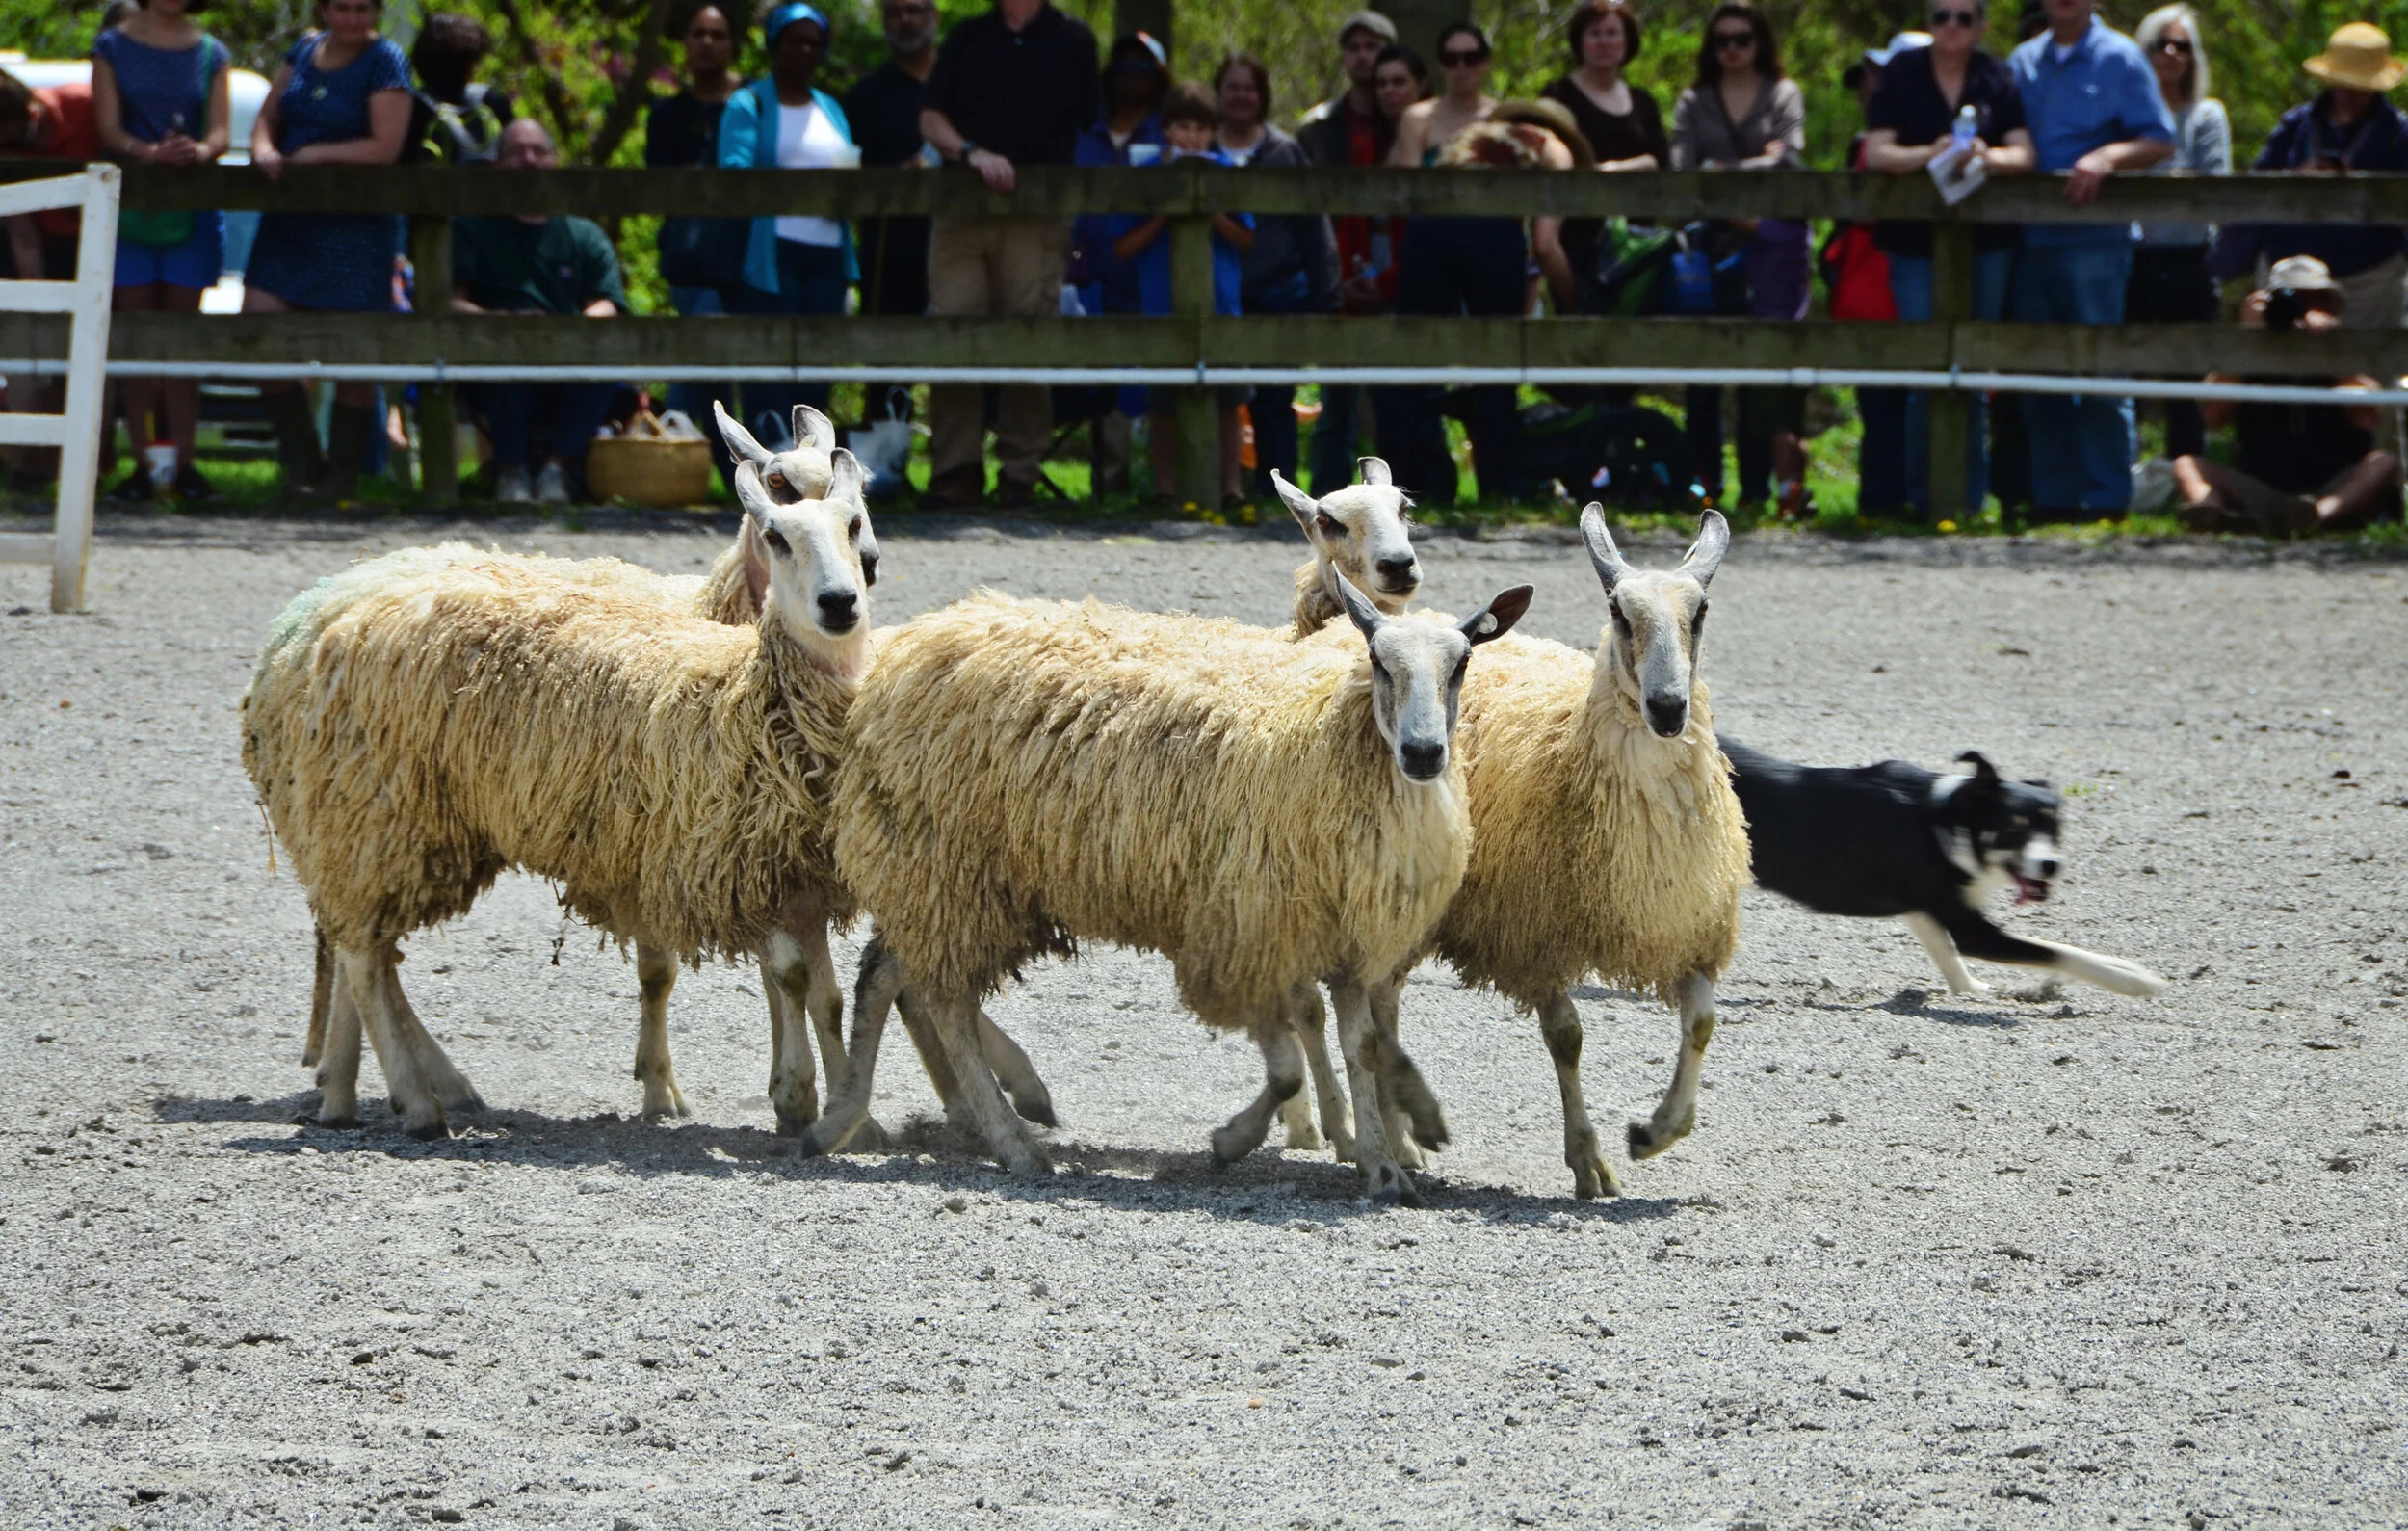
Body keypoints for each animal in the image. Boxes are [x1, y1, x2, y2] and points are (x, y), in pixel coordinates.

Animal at [242, 451, 877, 1138]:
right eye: (775, 529)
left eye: (853, 519)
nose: (844, 597)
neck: (743, 687)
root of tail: (323, 618)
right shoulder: (731, 867)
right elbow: (782, 977)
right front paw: (795, 1099)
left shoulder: (795, 875)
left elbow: (825, 995)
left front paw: (847, 1115)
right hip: (375, 816)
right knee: (362, 957)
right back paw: (415, 1102)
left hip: (383, 825)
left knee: (367, 953)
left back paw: (380, 1087)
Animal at [813, 574, 1535, 1200]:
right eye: (1379, 661)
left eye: (1462, 664)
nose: (1423, 753)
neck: (1327, 741)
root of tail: (919, 641)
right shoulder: (1245, 932)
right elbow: (1286, 1072)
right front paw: (1234, 1140)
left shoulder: (1344, 939)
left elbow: (1361, 1050)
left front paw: (1383, 1167)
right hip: (948, 866)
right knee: (943, 1002)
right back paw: (1013, 1141)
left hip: (946, 878)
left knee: (887, 974)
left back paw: (841, 1119)